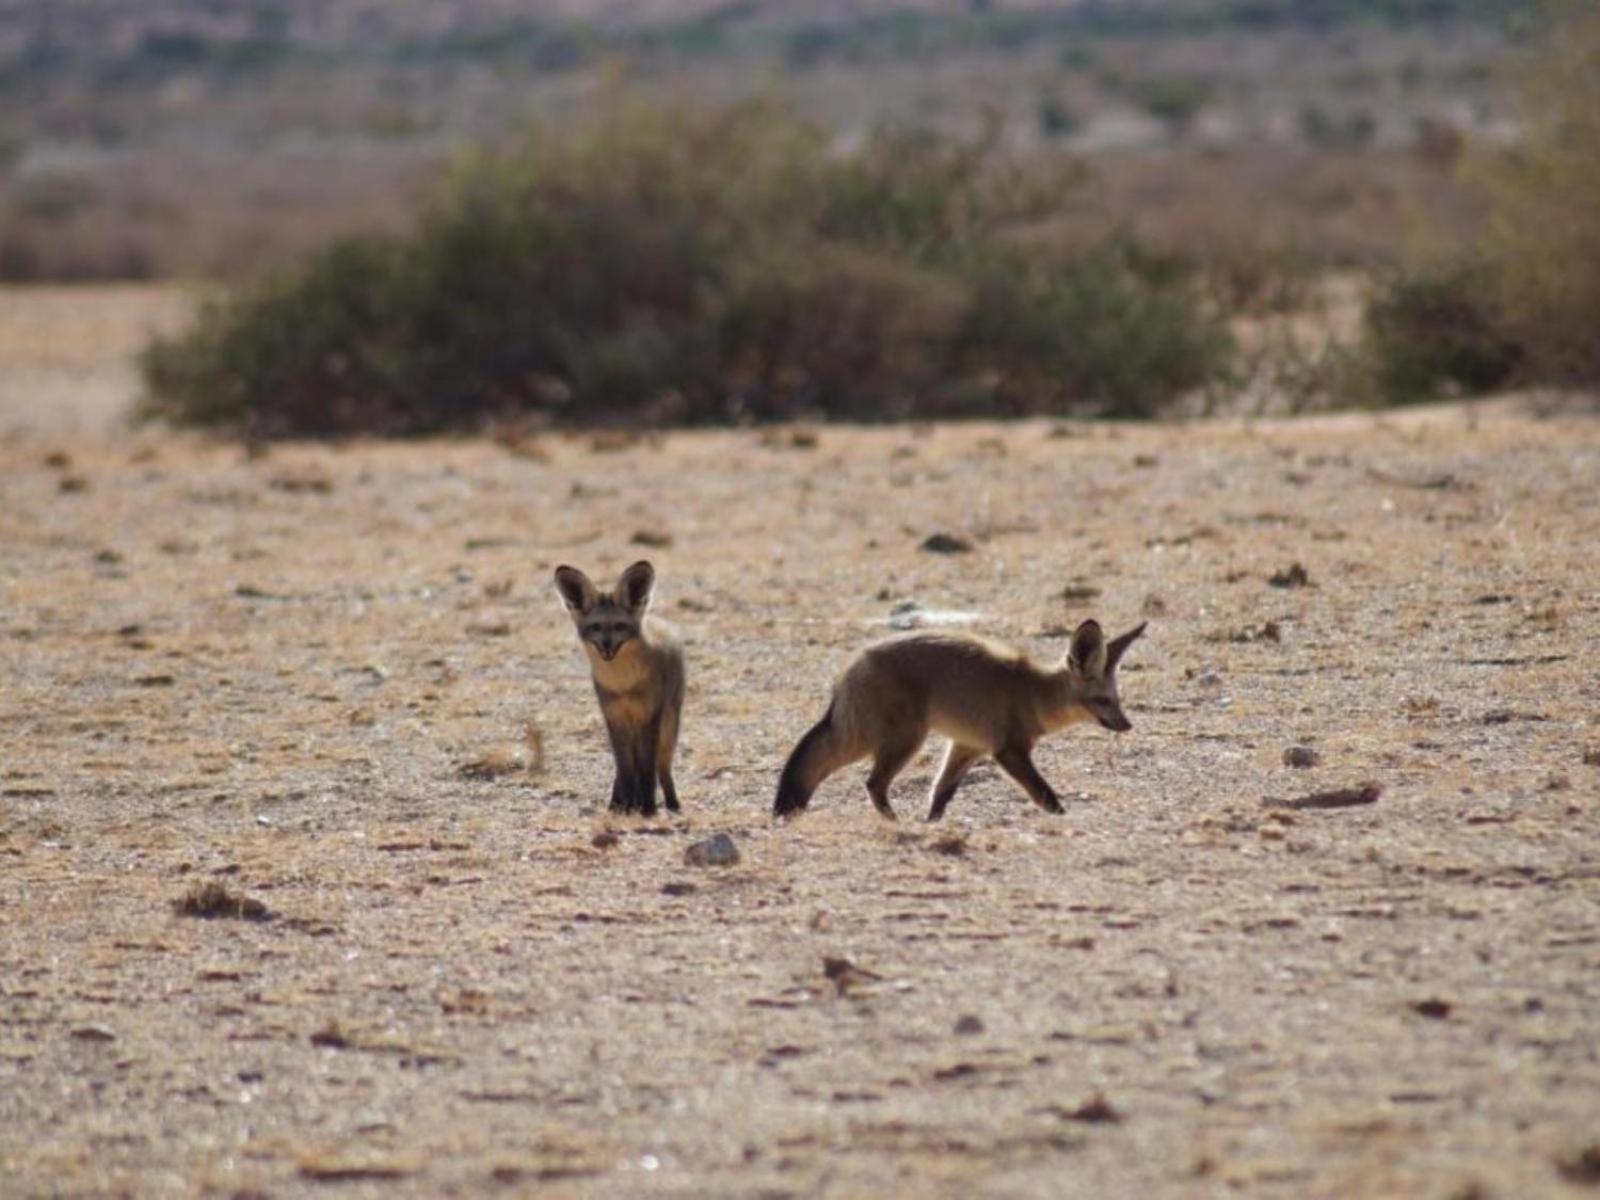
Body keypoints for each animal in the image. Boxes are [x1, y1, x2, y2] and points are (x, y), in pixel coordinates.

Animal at [553, 563, 684, 819]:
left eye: (619, 626)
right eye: (595, 627)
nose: (606, 647)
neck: (623, 686)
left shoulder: (648, 718)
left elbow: (646, 769)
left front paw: (647, 808)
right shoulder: (613, 718)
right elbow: (624, 769)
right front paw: (625, 807)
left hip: (669, 726)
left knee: (662, 766)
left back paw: (672, 803)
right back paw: (620, 802)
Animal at [777, 620, 1145, 825]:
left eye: (1118, 701)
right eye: (1104, 701)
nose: (1127, 726)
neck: (1035, 693)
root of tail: (853, 663)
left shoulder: (968, 746)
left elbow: (941, 792)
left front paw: (932, 824)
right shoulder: (1009, 751)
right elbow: (1045, 794)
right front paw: (1063, 819)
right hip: (900, 740)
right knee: (872, 783)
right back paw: (895, 822)